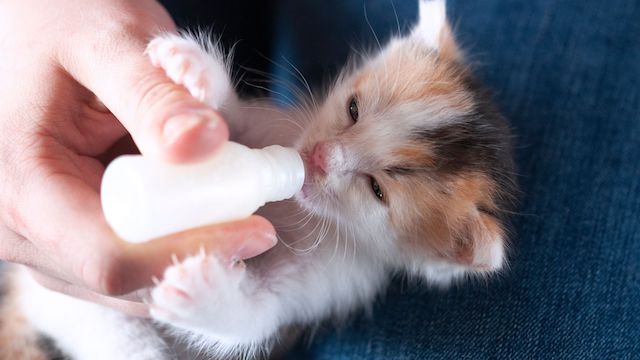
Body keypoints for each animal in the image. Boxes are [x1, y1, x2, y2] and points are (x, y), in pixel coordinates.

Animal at [1, 1, 516, 358]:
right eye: (352, 109)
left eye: (377, 191)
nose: (318, 158)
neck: (309, 216)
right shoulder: (282, 130)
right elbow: (238, 123)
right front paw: (197, 75)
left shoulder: (330, 285)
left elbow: (254, 319)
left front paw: (203, 294)